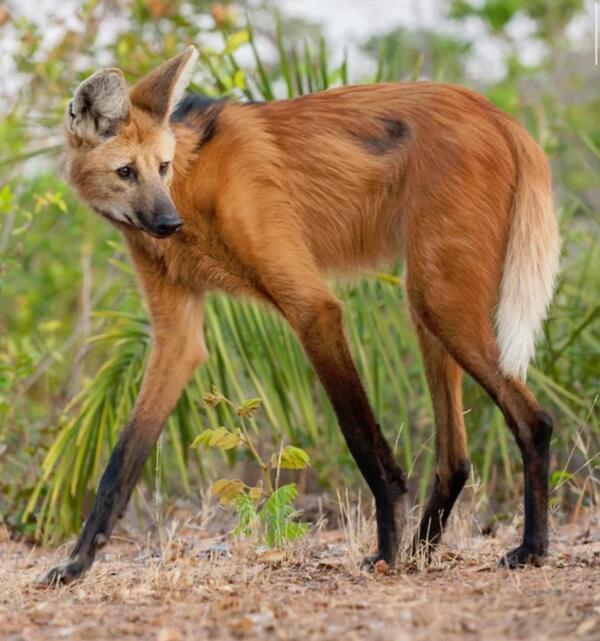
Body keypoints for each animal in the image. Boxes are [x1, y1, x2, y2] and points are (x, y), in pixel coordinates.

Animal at [39, 47, 560, 584]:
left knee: (535, 420)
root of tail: (500, 116)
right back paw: (423, 551)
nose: (167, 223)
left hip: (440, 300)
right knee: (456, 457)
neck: (193, 187)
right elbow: (121, 459)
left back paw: (528, 548)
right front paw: (77, 563)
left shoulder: (314, 309)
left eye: (161, 168)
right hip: (428, 304)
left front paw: (384, 553)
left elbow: (360, 437)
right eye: (126, 172)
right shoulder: (176, 337)